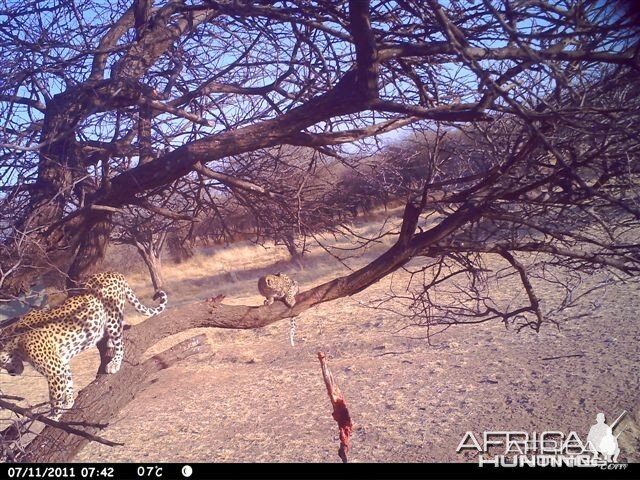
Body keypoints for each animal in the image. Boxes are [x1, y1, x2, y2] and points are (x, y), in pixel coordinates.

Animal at [0, 272, 168, 418]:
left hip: (113, 317)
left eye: (2, 364)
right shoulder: (61, 362)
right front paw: (68, 402)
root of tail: (114, 273)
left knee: (120, 342)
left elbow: (55, 398)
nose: (11, 373)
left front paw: (54, 416)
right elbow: (68, 382)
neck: (13, 342)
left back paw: (114, 363)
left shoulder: (54, 371)